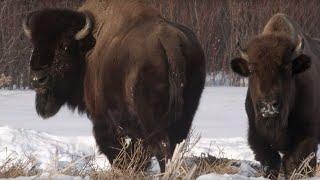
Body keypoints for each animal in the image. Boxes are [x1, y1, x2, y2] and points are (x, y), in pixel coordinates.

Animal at [22, 0, 205, 172]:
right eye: (34, 44)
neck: (86, 51)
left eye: (64, 46)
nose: (38, 78)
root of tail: (170, 43)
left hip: (150, 119)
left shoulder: (103, 120)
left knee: (162, 146)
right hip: (185, 114)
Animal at [231, 13, 318, 179]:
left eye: (286, 68)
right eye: (252, 69)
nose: (268, 105)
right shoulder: (257, 137)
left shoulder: (307, 137)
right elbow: (271, 161)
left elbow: (294, 162)